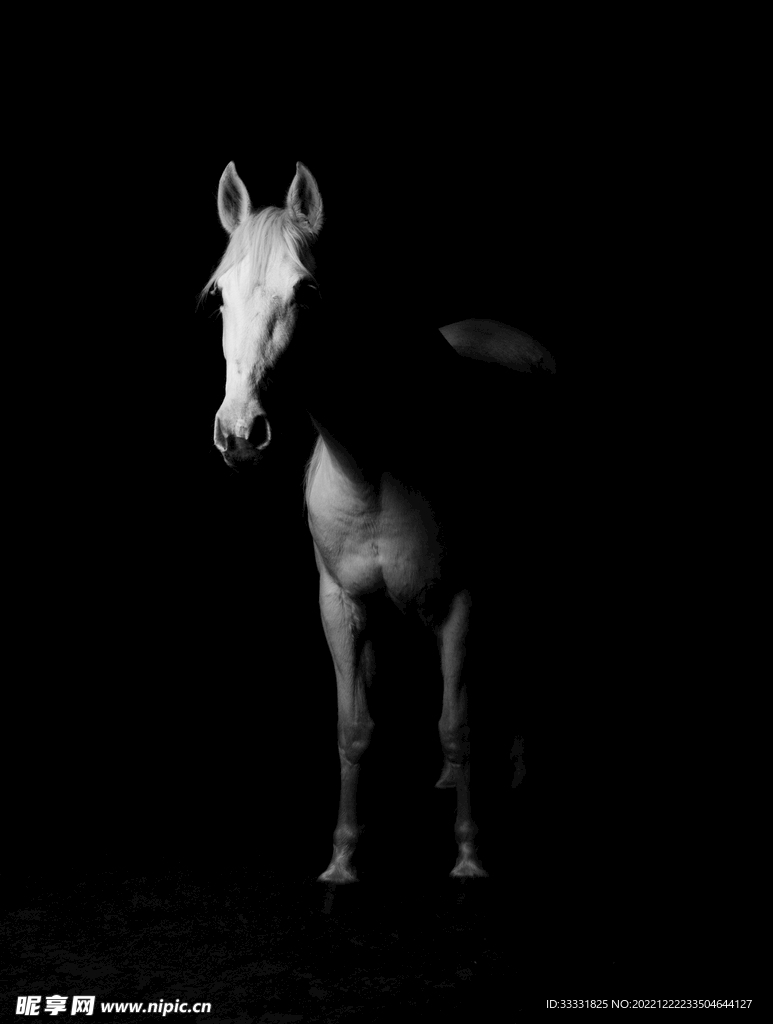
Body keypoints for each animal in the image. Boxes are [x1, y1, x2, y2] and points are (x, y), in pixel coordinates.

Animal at [203, 161, 554, 882]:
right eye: (220, 294)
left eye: (306, 291)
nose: (241, 434)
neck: (374, 469)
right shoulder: (340, 605)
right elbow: (354, 728)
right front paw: (342, 857)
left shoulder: (462, 599)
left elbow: (458, 725)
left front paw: (469, 856)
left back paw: (515, 771)